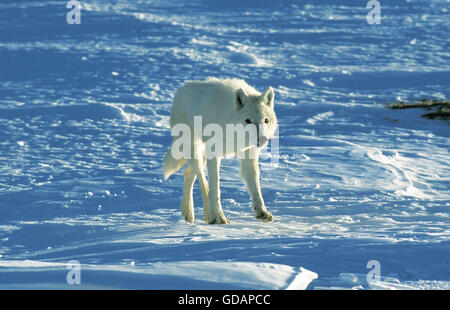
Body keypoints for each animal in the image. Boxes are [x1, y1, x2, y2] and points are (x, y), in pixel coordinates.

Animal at [163, 77, 276, 223]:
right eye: (248, 120)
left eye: (266, 120)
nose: (261, 139)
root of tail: (180, 90)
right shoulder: (214, 154)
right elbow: (215, 188)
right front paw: (219, 217)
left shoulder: (248, 154)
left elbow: (256, 186)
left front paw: (262, 213)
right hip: (195, 151)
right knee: (204, 184)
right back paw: (210, 216)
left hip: (202, 157)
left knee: (188, 174)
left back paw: (191, 214)